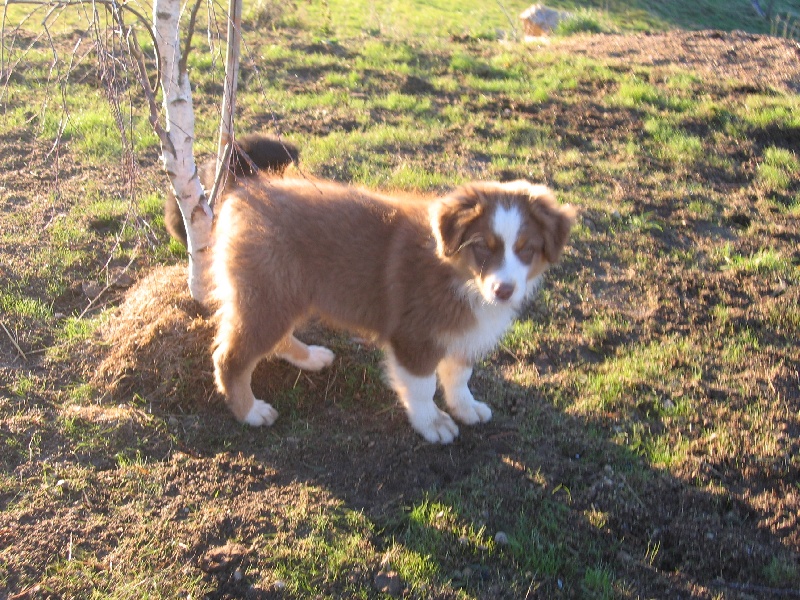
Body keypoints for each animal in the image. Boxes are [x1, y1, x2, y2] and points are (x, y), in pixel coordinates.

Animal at [211, 173, 576, 440]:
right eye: (483, 248)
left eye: (526, 249)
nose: (504, 291)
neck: (460, 278)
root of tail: (244, 197)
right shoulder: (414, 338)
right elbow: (423, 386)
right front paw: (433, 424)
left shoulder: (462, 334)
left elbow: (459, 376)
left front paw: (466, 407)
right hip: (270, 297)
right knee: (230, 358)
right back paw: (251, 411)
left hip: (283, 297)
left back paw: (310, 357)